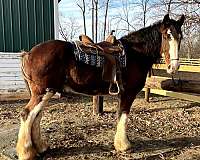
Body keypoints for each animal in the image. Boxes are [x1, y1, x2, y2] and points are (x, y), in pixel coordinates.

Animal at [16, 14, 185, 159]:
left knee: (36, 116)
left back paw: (41, 147)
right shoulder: (128, 93)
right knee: (27, 114)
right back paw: (26, 152)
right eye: (167, 36)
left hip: (46, 92)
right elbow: (123, 115)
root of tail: (28, 54)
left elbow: (120, 115)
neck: (135, 54)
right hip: (43, 92)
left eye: (180, 37)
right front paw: (123, 145)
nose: (174, 67)